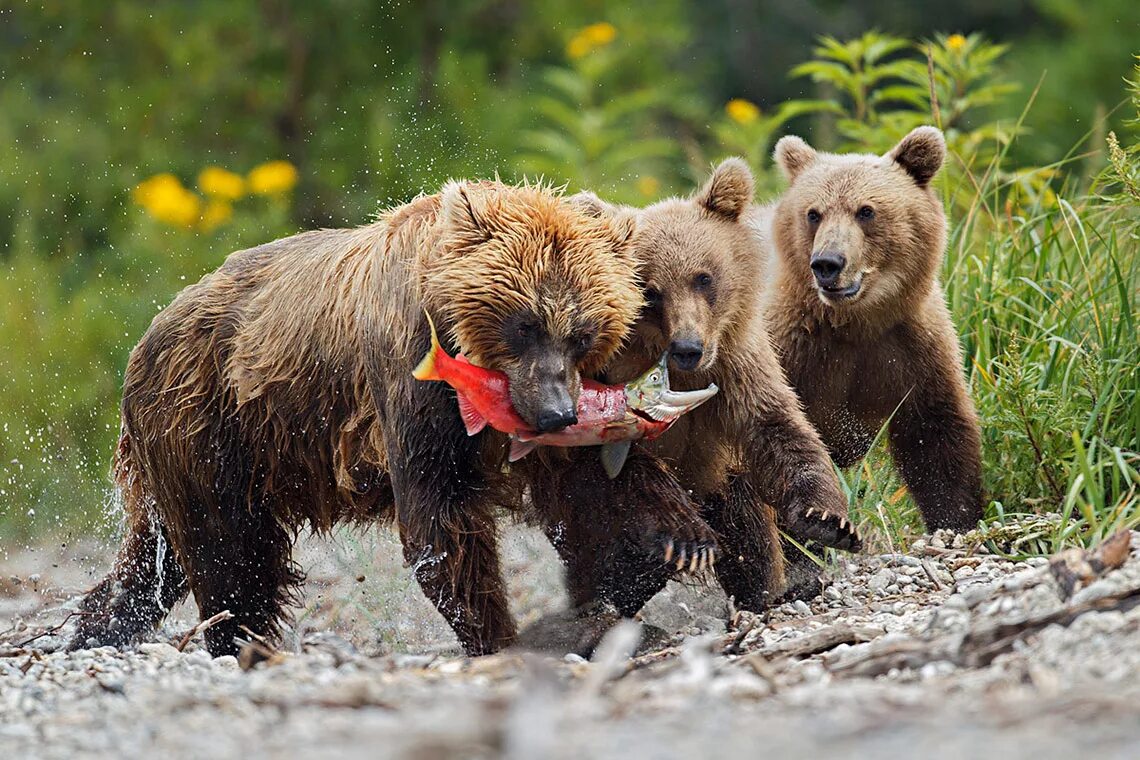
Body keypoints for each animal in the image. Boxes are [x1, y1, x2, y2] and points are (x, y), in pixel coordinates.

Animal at [71, 180, 702, 660]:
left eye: (583, 333)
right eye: (524, 324)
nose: (554, 412)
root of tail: (149, 331)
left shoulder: (545, 416)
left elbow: (595, 477)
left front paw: (677, 541)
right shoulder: (411, 377)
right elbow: (440, 515)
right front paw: (497, 634)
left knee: (157, 557)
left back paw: (95, 626)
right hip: (210, 418)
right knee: (228, 550)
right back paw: (237, 639)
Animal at [766, 126, 989, 535]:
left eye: (866, 210)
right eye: (813, 213)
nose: (827, 263)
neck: (856, 322)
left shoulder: (913, 348)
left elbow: (937, 435)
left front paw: (956, 520)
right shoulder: (793, 348)